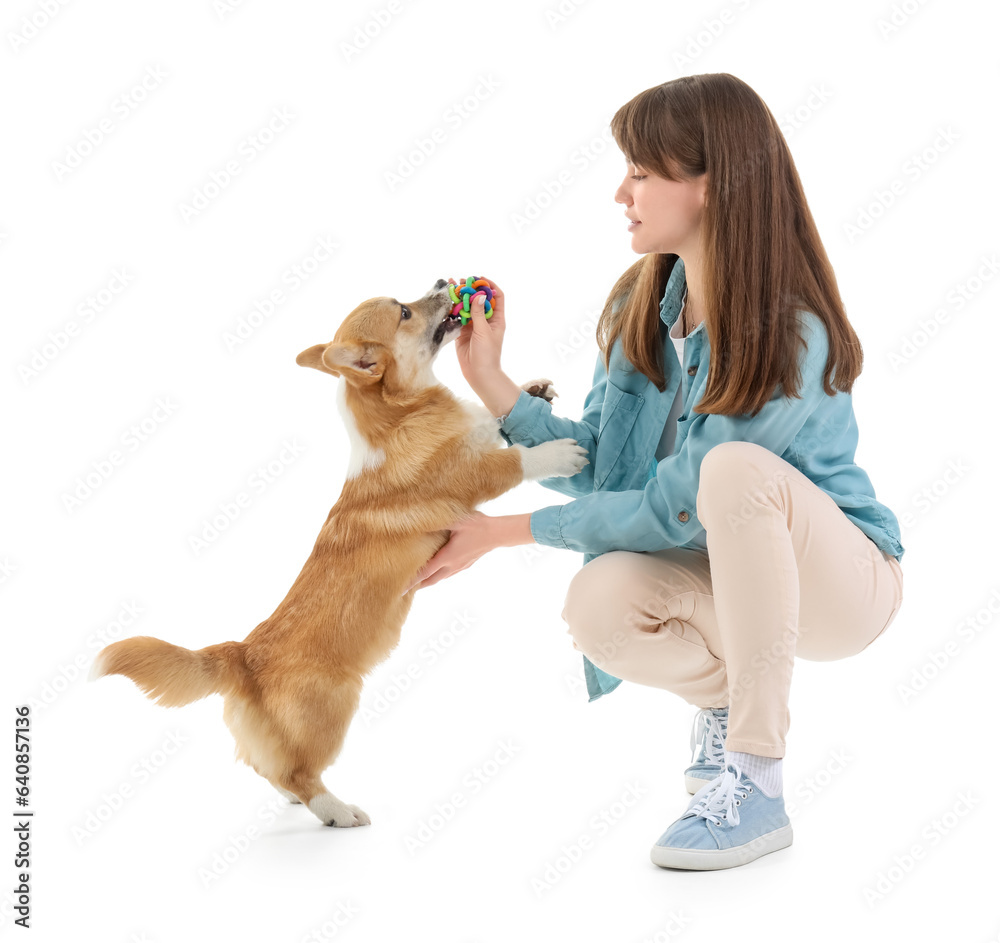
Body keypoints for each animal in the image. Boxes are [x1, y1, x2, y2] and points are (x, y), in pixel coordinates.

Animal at [90, 278, 588, 824]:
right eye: (405, 312)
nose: (442, 280)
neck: (400, 417)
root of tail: (241, 655)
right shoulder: (472, 477)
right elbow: (514, 460)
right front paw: (558, 452)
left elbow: (493, 424)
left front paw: (533, 392)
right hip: (335, 708)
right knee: (297, 772)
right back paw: (339, 811)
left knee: (266, 765)